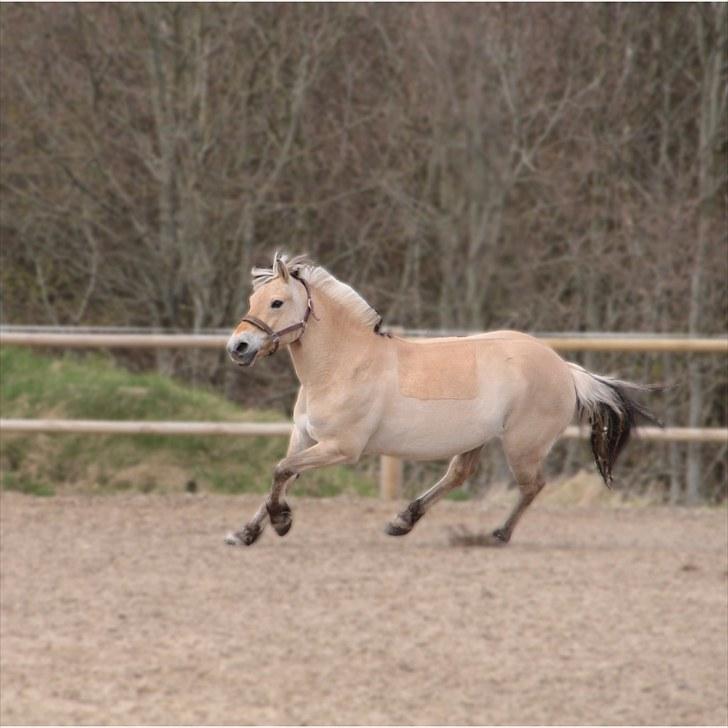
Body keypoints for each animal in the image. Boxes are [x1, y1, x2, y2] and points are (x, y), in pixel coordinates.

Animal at [223, 253, 660, 544]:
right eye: (252, 302)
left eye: (277, 302)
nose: (238, 347)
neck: (344, 364)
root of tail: (565, 369)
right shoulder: (306, 438)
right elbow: (283, 473)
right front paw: (246, 532)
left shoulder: (341, 448)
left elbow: (281, 471)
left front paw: (281, 522)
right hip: (478, 438)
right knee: (459, 474)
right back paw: (403, 521)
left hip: (522, 445)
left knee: (532, 486)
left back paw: (496, 534)